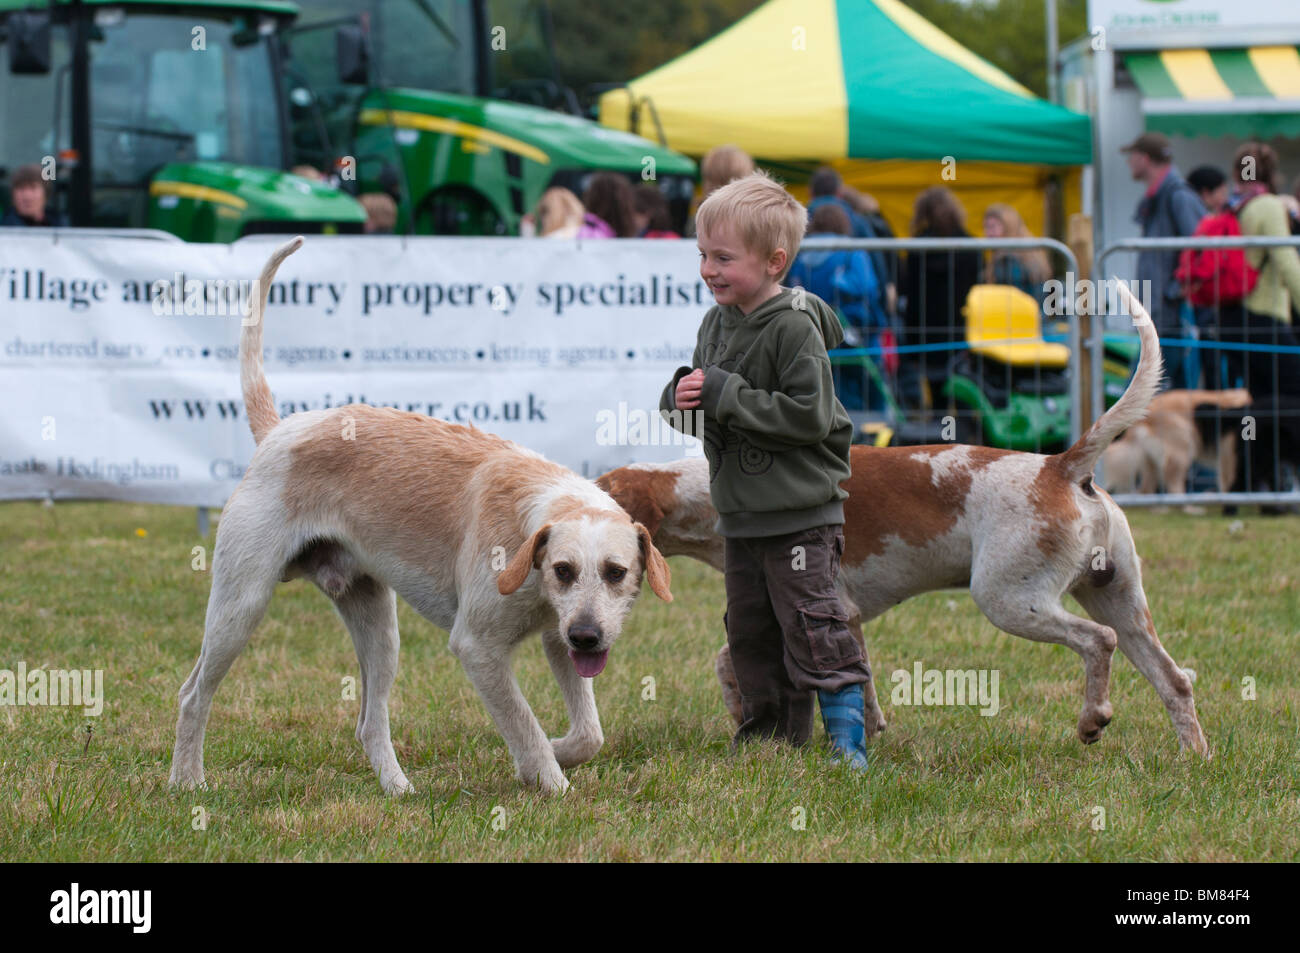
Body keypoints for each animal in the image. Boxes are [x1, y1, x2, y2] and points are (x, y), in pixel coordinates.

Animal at [170, 237, 670, 795]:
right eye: (564, 570)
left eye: (616, 573)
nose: (588, 636)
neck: (531, 532)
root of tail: (280, 430)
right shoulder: (478, 648)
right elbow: (525, 724)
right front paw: (548, 778)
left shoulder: (555, 636)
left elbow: (588, 735)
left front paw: (556, 753)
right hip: (240, 605)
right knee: (193, 695)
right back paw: (186, 782)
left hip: (378, 625)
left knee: (369, 722)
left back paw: (398, 790)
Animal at [598, 280, 1206, 748]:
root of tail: (1060, 466)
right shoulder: (842, 620)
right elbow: (829, 678)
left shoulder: (821, 609)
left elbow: (736, 663)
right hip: (1120, 599)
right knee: (1176, 680)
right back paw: (1192, 759)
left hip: (1012, 600)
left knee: (1098, 642)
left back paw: (1092, 719)